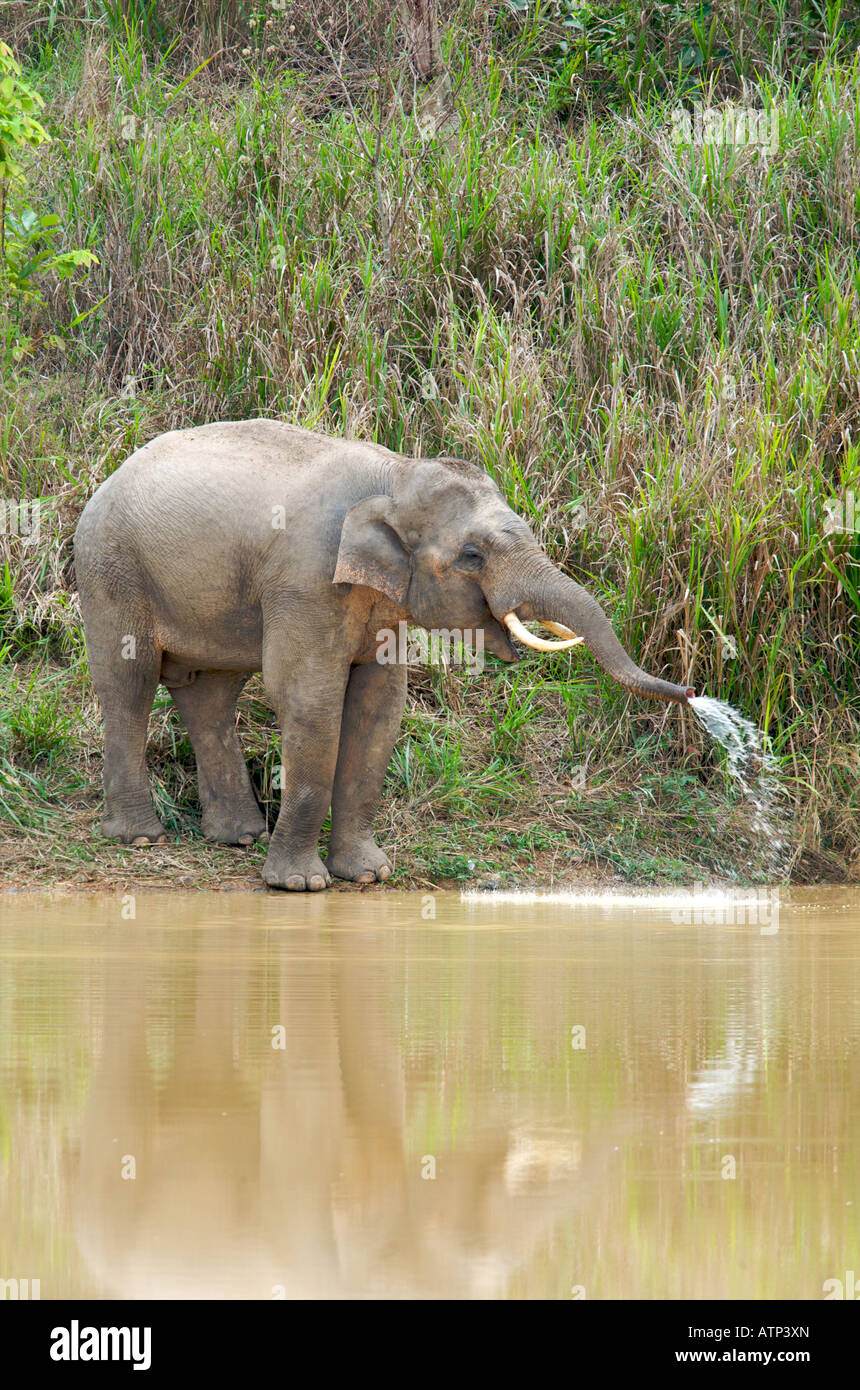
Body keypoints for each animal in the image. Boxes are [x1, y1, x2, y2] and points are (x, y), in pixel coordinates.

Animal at [72, 417, 691, 889]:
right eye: (472, 555)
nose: (691, 691)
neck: (394, 473)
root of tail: (106, 479)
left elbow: (379, 707)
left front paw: (370, 875)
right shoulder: (306, 579)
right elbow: (309, 697)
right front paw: (301, 885)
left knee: (210, 693)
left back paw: (238, 836)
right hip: (110, 569)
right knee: (128, 684)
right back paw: (141, 837)